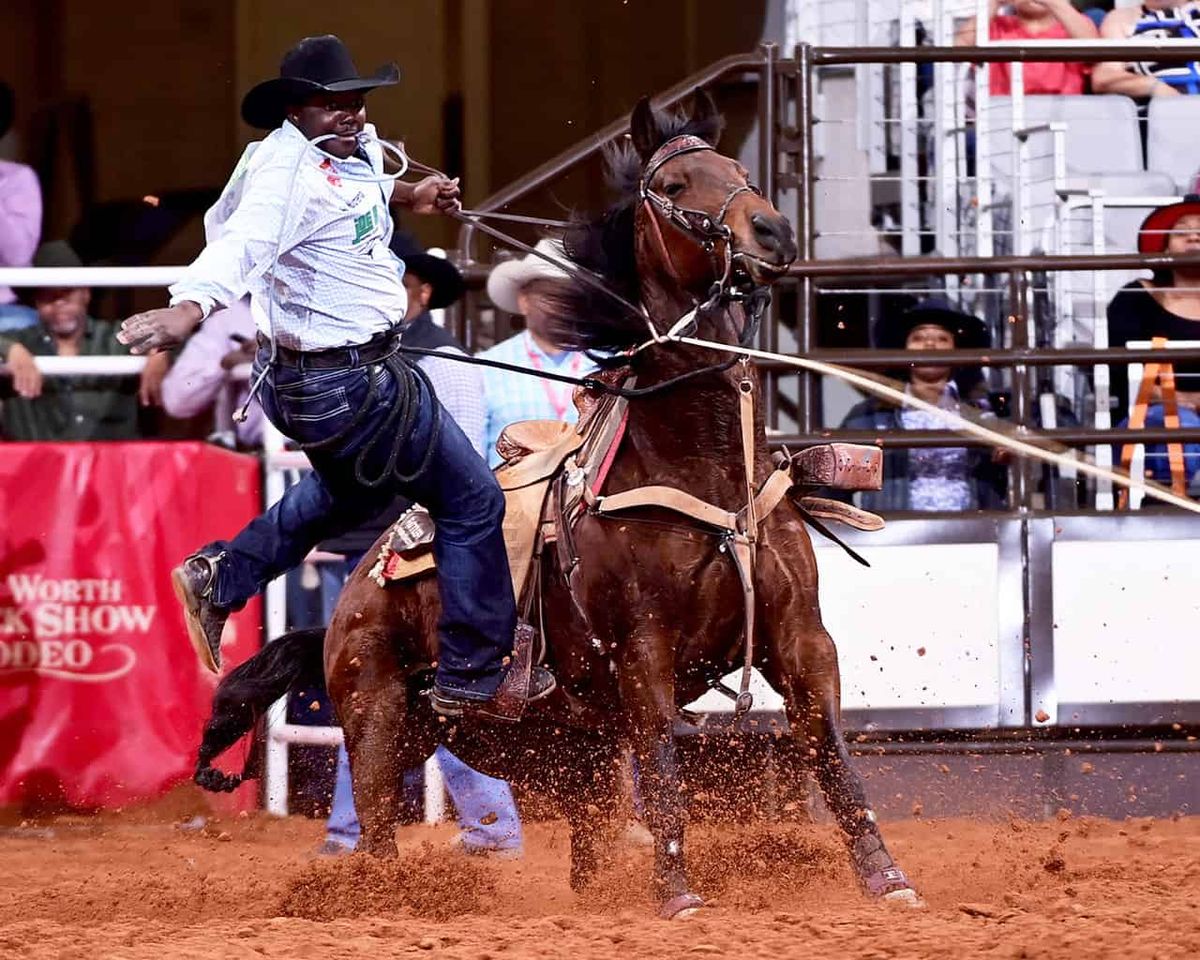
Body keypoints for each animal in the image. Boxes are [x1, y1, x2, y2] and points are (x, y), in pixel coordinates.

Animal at [196, 93, 916, 916]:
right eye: (675, 185)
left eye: (740, 168)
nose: (772, 231)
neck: (701, 468)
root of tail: (348, 598)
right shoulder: (642, 650)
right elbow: (663, 766)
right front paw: (678, 892)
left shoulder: (801, 638)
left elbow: (831, 755)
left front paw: (887, 878)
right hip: (380, 717)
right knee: (377, 828)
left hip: (565, 746)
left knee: (585, 840)